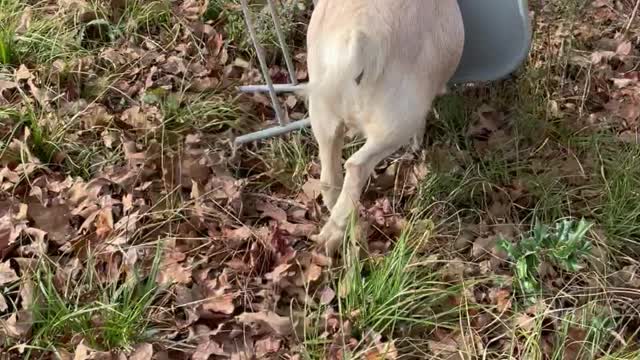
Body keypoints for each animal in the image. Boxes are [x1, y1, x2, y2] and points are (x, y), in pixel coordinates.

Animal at [306, 0, 464, 255]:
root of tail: (357, 42)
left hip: (321, 109)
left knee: (330, 175)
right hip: (396, 121)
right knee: (356, 166)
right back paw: (335, 234)